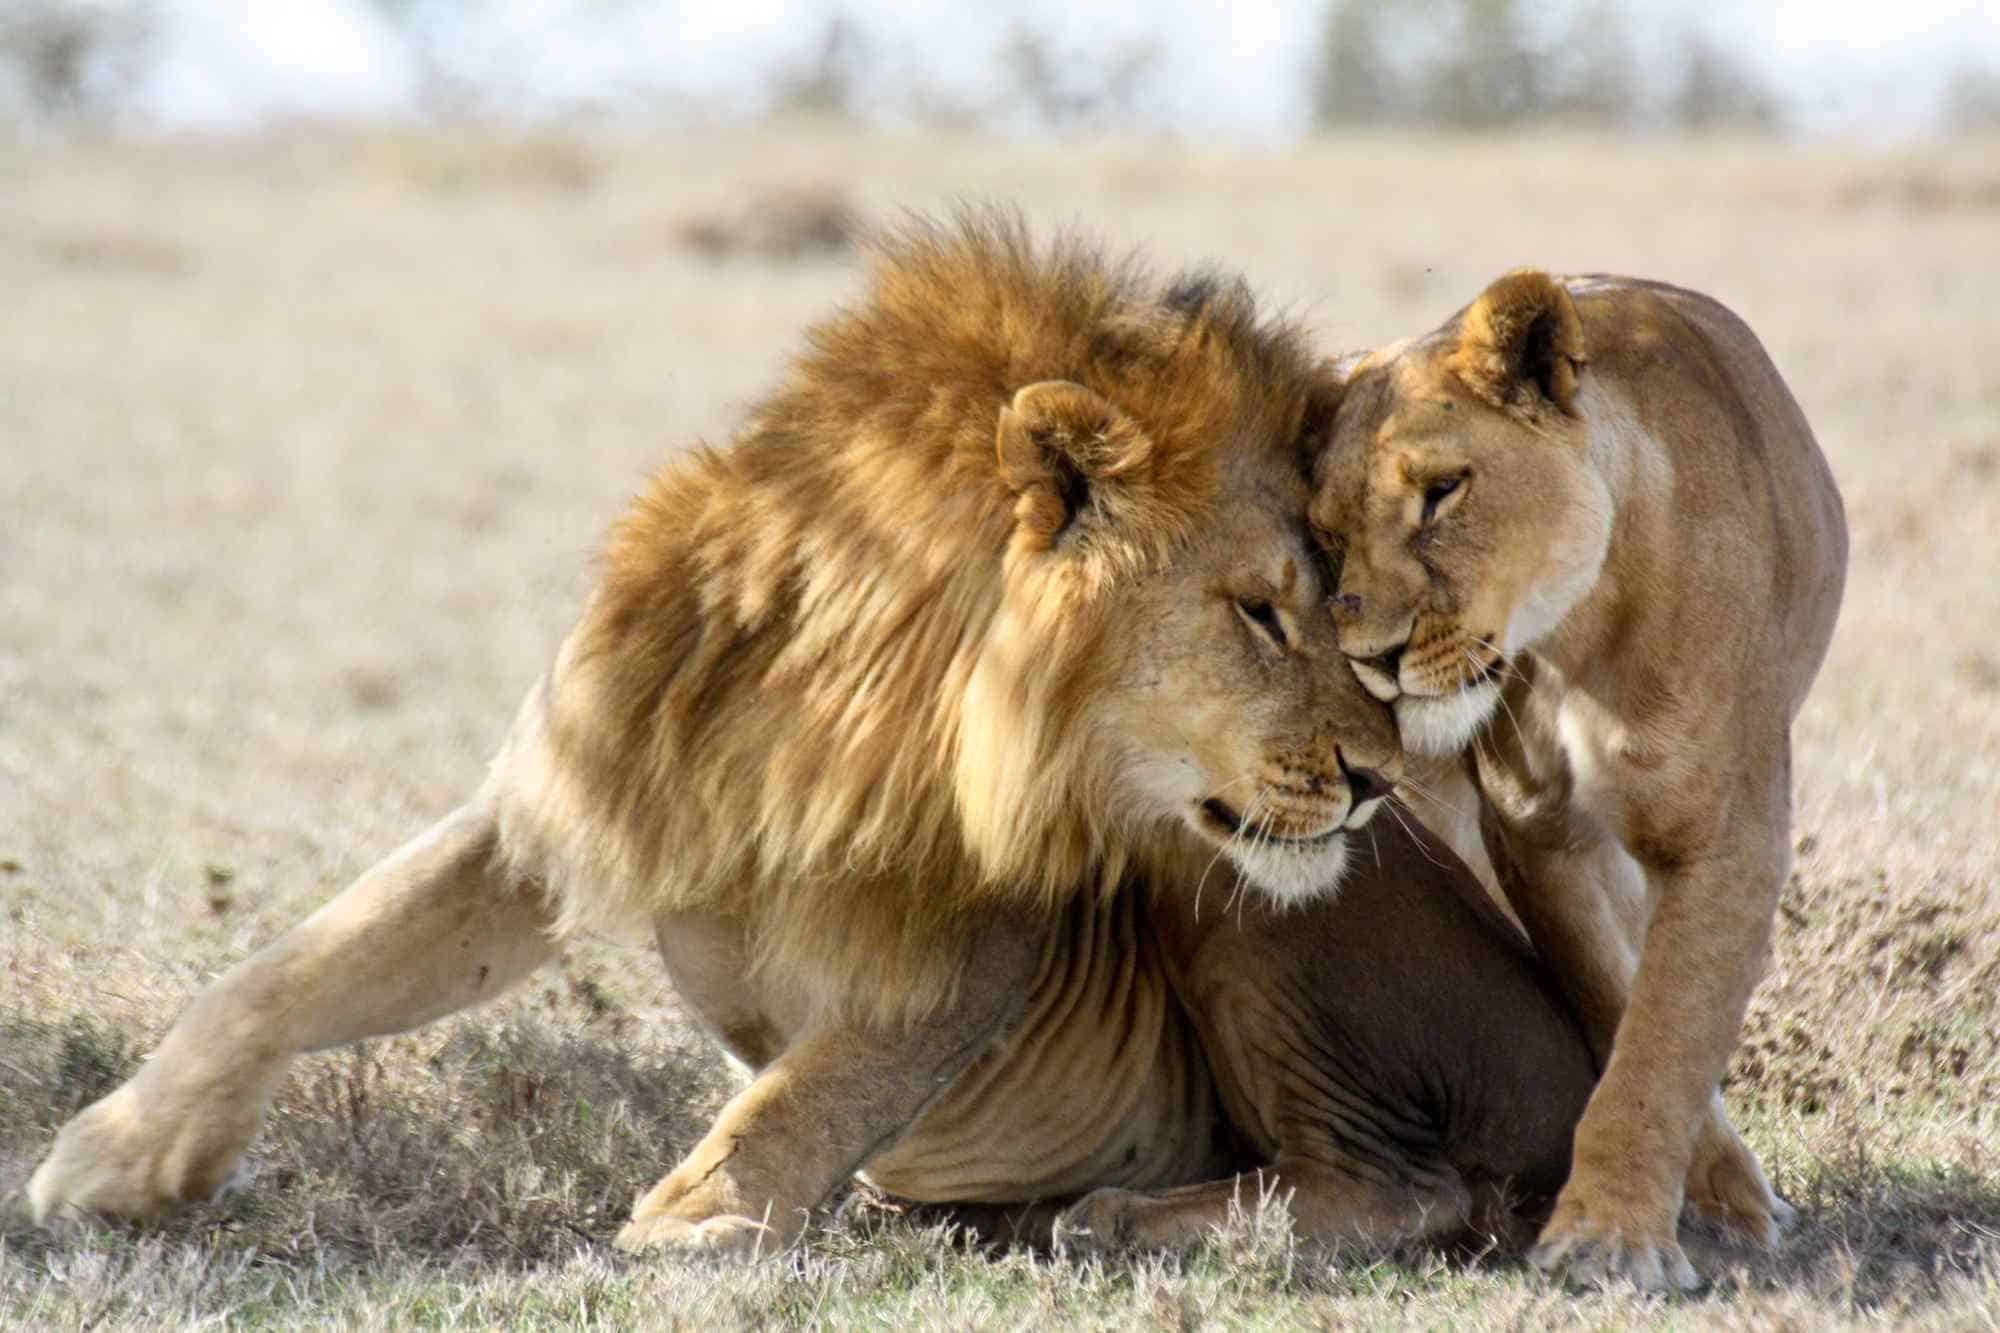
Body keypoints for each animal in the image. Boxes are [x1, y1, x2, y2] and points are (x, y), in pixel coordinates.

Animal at [27, 218, 1592, 1256]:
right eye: (1262, 613)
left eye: (1337, 606)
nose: (1382, 778)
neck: (832, 709)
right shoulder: (564, 798)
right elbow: (297, 966)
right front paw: (115, 1157)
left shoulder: (985, 930)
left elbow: (814, 1084)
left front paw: (693, 1222)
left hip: (1242, 907)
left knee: (1411, 1186)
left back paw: (1125, 1212)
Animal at [1312, 264, 1840, 1280]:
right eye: (1324, 536)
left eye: (1441, 492)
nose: (1371, 659)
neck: (1577, 635)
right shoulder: (1534, 832)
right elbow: (1618, 999)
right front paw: (1664, 1204)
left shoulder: (1727, 839)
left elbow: (1665, 1034)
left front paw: (1611, 1238)